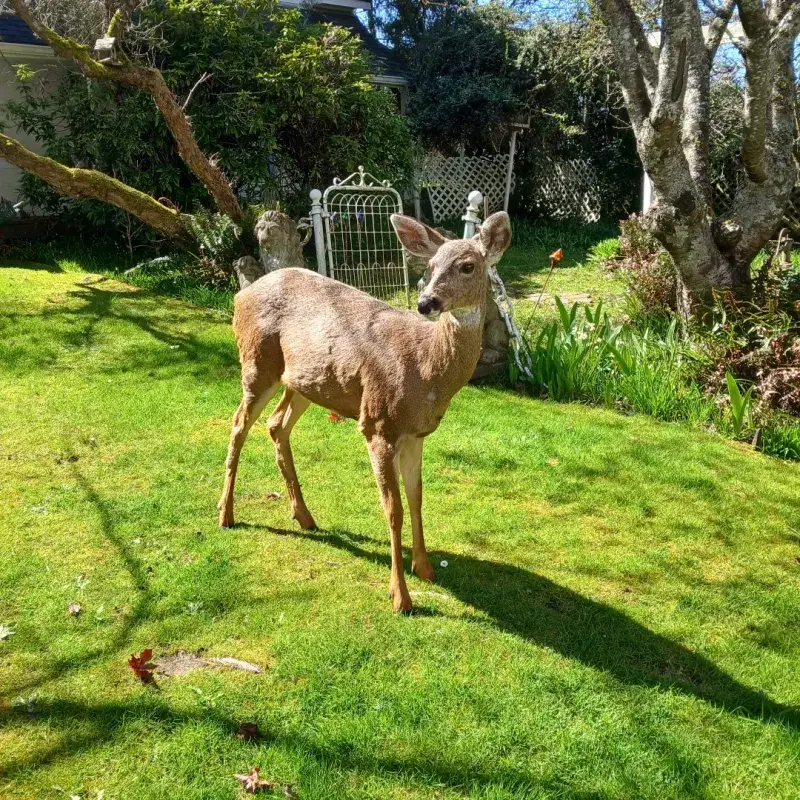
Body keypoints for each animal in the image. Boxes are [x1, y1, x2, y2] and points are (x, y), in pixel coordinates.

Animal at [218, 211, 512, 613]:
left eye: (467, 266)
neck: (426, 371)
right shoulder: (377, 423)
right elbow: (394, 509)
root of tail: (240, 295)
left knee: (276, 424)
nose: (426, 303)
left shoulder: (416, 434)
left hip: (305, 381)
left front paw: (425, 569)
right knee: (237, 425)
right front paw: (400, 596)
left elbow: (417, 498)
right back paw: (226, 515)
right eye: (430, 266)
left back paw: (304, 516)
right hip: (257, 362)